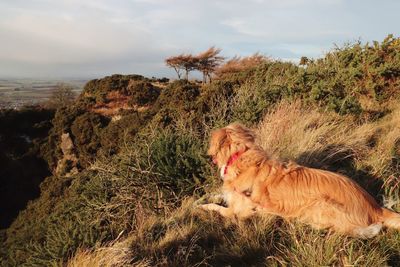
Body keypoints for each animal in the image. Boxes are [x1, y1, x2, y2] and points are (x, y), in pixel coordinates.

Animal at [202, 123, 400, 239]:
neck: (239, 158)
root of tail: (375, 207)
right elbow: (216, 195)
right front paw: (202, 197)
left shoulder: (237, 212)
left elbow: (216, 207)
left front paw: (202, 207)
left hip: (320, 204)